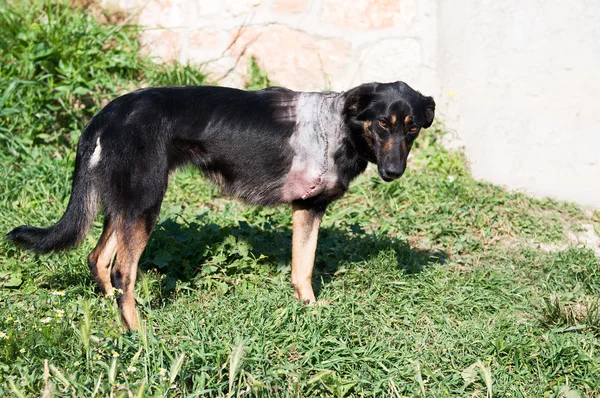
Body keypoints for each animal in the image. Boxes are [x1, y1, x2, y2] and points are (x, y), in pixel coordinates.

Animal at [5, 81, 436, 330]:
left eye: (412, 128)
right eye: (382, 124)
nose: (394, 172)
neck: (342, 125)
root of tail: (108, 112)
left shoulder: (306, 209)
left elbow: (302, 270)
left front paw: (309, 312)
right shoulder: (310, 207)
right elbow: (306, 267)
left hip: (124, 205)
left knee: (98, 258)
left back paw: (114, 314)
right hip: (145, 203)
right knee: (122, 272)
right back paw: (138, 334)